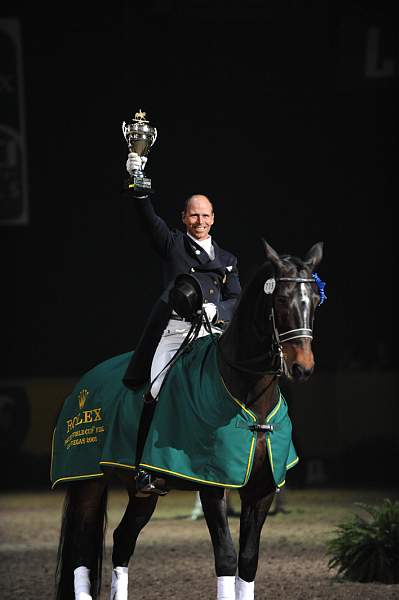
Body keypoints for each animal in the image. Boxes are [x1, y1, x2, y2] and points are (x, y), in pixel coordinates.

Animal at [54, 240, 326, 600]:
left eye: (315, 303)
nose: (302, 368)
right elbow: (226, 557)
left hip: (142, 492)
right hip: (87, 483)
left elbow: (248, 560)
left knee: (122, 540)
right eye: (281, 299)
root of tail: (83, 386)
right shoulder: (212, 486)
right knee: (82, 553)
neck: (248, 396)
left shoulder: (261, 491)